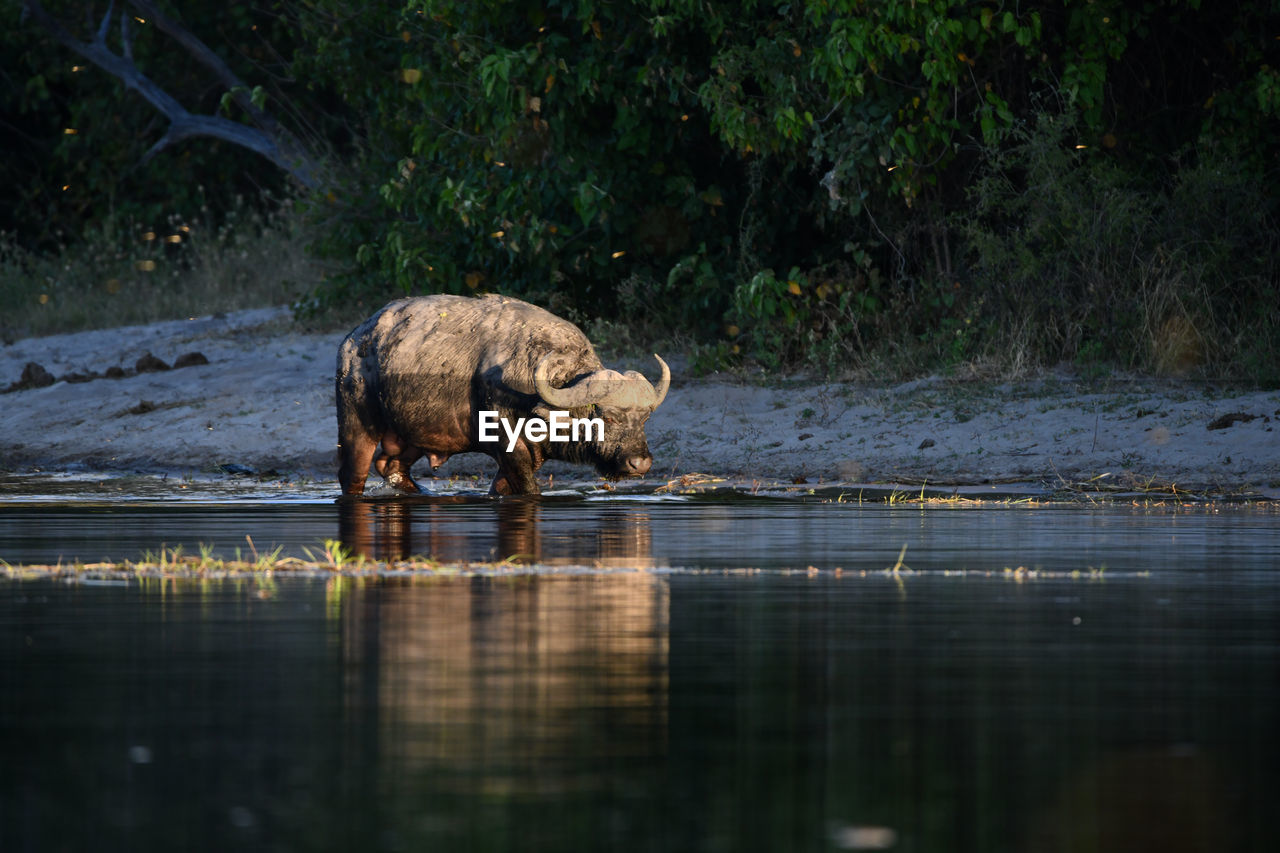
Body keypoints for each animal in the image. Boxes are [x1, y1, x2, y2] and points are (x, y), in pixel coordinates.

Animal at [335, 292, 670, 494]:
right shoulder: (508, 444)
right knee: (353, 473)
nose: (640, 464)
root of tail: (353, 341)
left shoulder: (531, 454)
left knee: (391, 467)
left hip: (413, 432)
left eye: (644, 419)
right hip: (356, 423)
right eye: (609, 418)